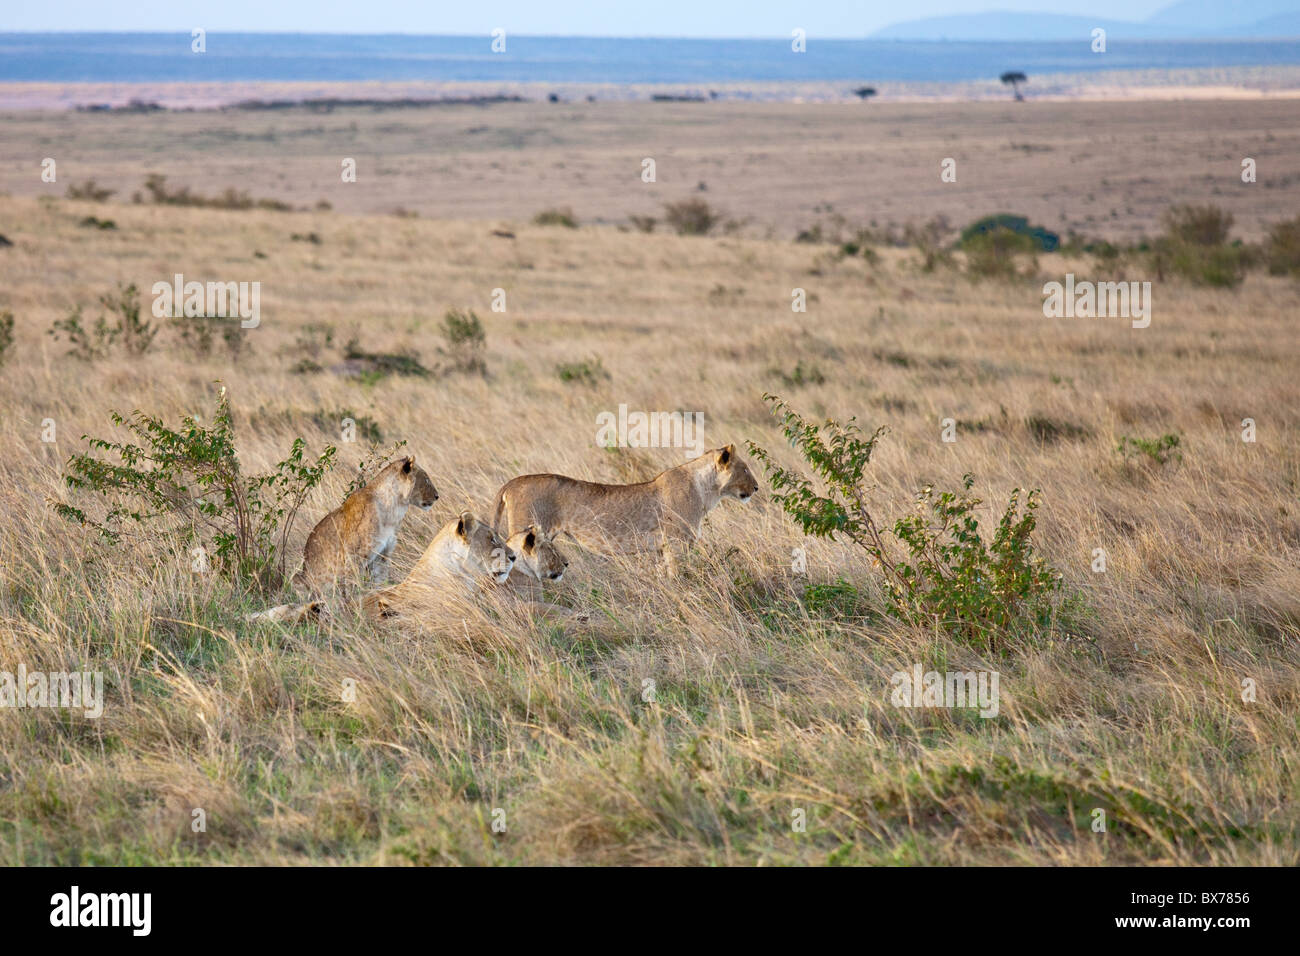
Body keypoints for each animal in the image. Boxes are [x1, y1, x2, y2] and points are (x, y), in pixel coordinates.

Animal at [293, 455, 436, 598]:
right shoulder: (354, 555)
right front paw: (353, 600)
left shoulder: (382, 555)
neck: (394, 509)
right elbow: (352, 584)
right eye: (426, 479)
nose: (437, 496)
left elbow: (380, 580)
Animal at [488, 442, 759, 572]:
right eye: (745, 469)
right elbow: (679, 575)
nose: (757, 488)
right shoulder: (676, 544)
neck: (706, 490)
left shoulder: (662, 548)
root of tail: (511, 482)